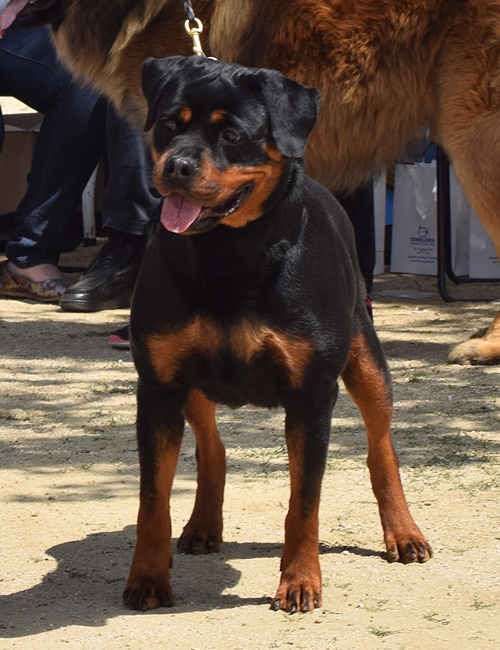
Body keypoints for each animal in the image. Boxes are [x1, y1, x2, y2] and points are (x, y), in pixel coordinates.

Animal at [117, 55, 433, 613]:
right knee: (213, 448)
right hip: (193, 386)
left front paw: (300, 580)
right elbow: (152, 499)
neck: (228, 253)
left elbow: (304, 501)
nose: (176, 167)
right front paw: (149, 578)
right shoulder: (158, 387)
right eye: (169, 125)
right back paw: (202, 524)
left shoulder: (312, 395)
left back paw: (403, 531)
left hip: (366, 359)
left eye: (234, 135)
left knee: (382, 448)